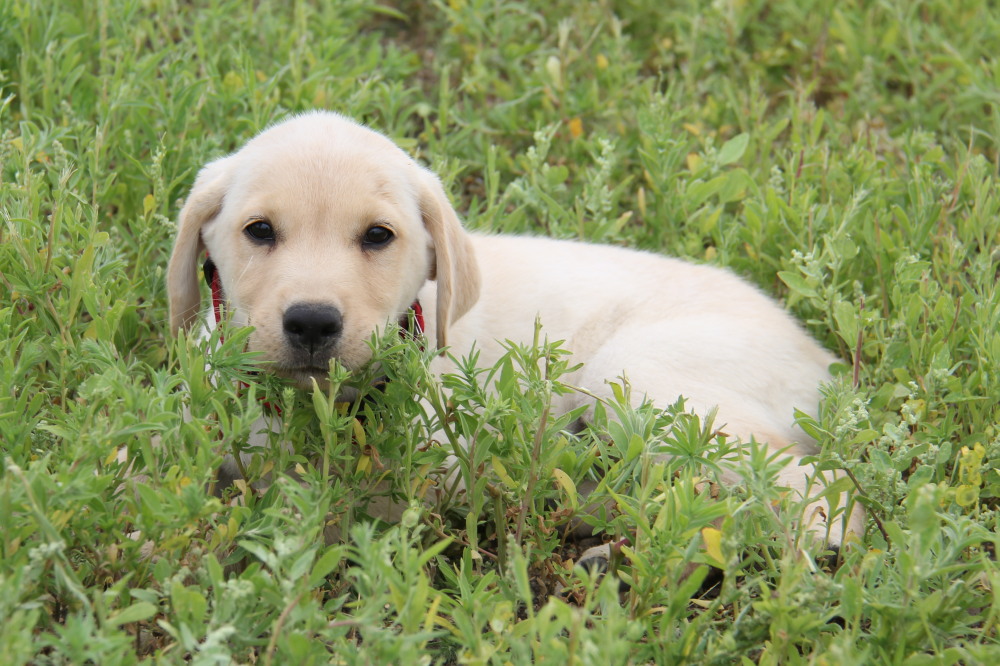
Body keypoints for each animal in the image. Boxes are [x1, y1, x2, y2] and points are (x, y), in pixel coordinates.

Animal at [168, 111, 864, 548]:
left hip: (636, 379)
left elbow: (323, 506)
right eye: (260, 231)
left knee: (820, 502)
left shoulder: (431, 475)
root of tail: (824, 363)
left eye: (378, 236)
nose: (312, 321)